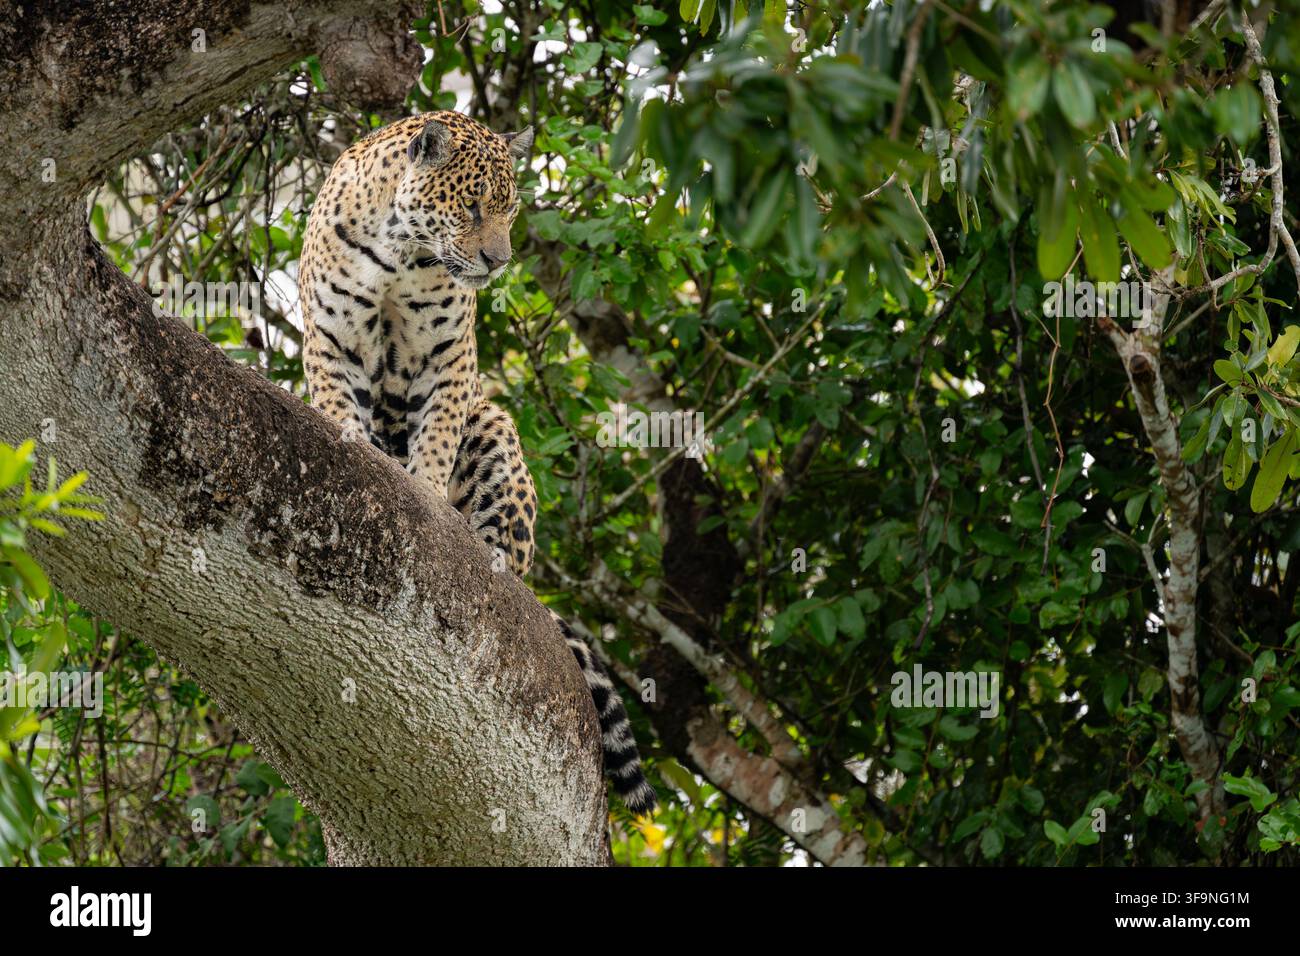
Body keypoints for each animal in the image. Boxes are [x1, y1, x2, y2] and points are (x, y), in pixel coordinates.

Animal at [299, 110, 656, 817]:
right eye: (471, 208)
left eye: (510, 212)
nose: (498, 261)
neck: (398, 256)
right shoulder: (330, 337)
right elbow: (339, 407)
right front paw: (352, 446)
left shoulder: (448, 359)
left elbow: (435, 439)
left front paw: (426, 492)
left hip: (495, 428)